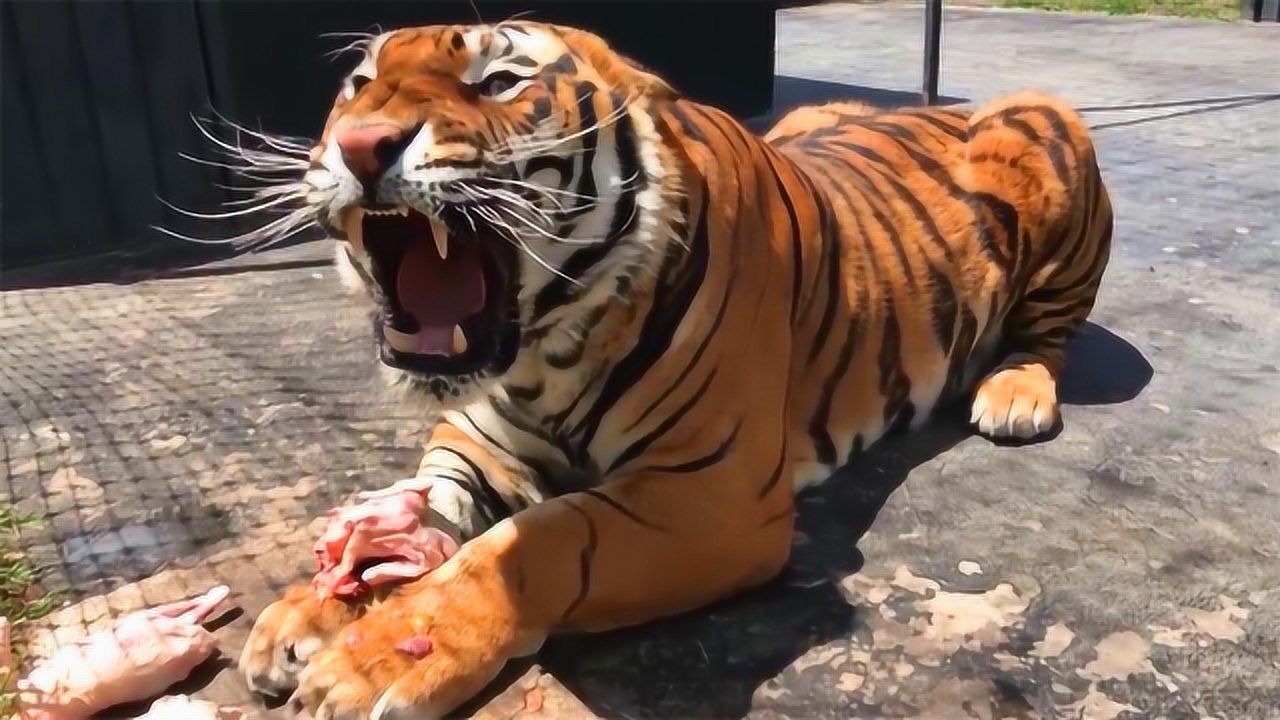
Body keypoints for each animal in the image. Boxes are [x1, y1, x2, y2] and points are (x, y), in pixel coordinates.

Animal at [234, 20, 1112, 719]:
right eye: (359, 85)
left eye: (500, 82)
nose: (359, 145)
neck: (545, 354)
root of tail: (942, 106)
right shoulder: (483, 442)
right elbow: (432, 510)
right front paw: (306, 613)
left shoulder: (709, 496)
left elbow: (538, 541)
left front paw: (373, 661)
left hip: (1048, 125)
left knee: (1050, 333)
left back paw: (1014, 393)